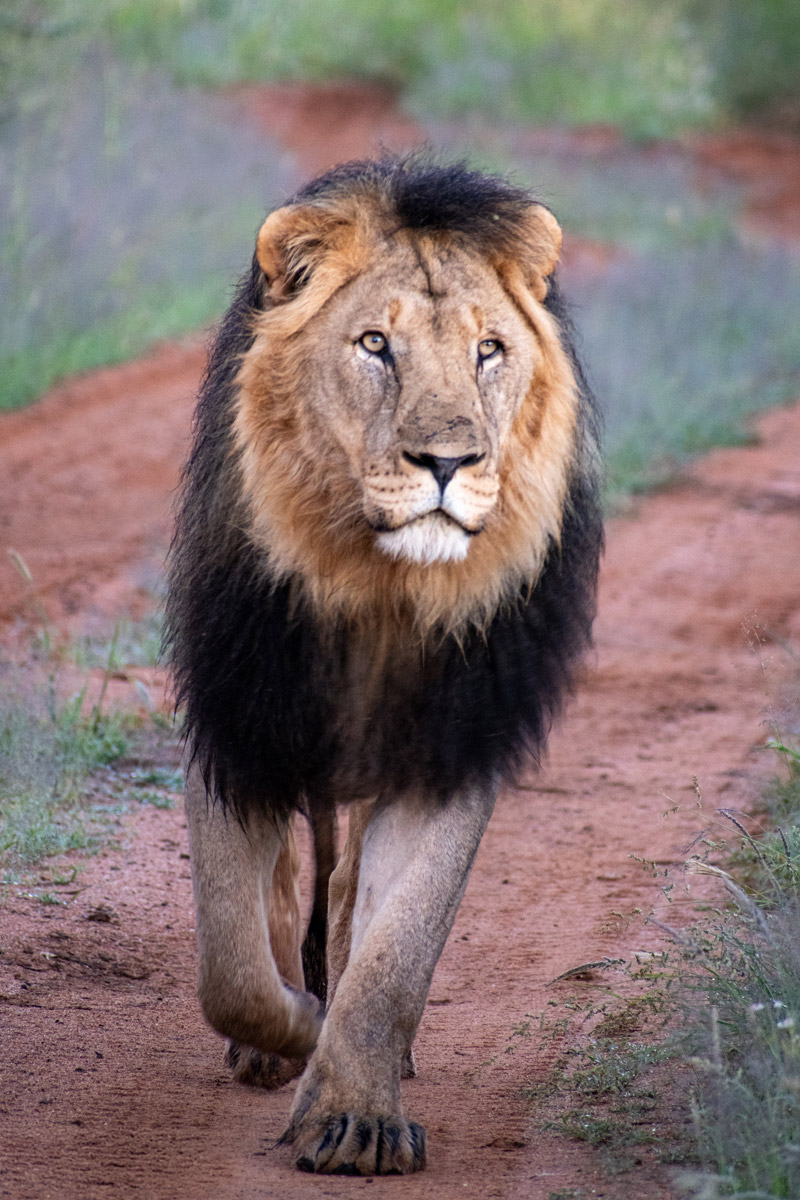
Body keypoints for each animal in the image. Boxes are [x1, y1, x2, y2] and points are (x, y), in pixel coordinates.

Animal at [165, 155, 603, 1175]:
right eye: (375, 345)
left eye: (488, 351)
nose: (449, 461)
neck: (380, 589)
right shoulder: (235, 717)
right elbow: (231, 963)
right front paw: (289, 1032)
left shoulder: (448, 747)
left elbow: (397, 949)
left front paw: (355, 1113)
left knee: (349, 888)